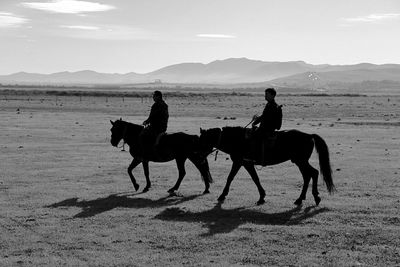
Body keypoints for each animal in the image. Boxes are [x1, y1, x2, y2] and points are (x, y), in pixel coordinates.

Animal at [200, 127, 334, 205]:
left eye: (202, 140)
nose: (199, 156)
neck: (237, 139)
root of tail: (309, 135)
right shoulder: (246, 163)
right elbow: (255, 178)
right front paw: (262, 196)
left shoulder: (239, 162)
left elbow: (230, 177)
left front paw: (222, 195)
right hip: (300, 162)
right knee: (308, 176)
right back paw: (301, 199)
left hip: (301, 161)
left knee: (313, 173)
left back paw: (315, 197)